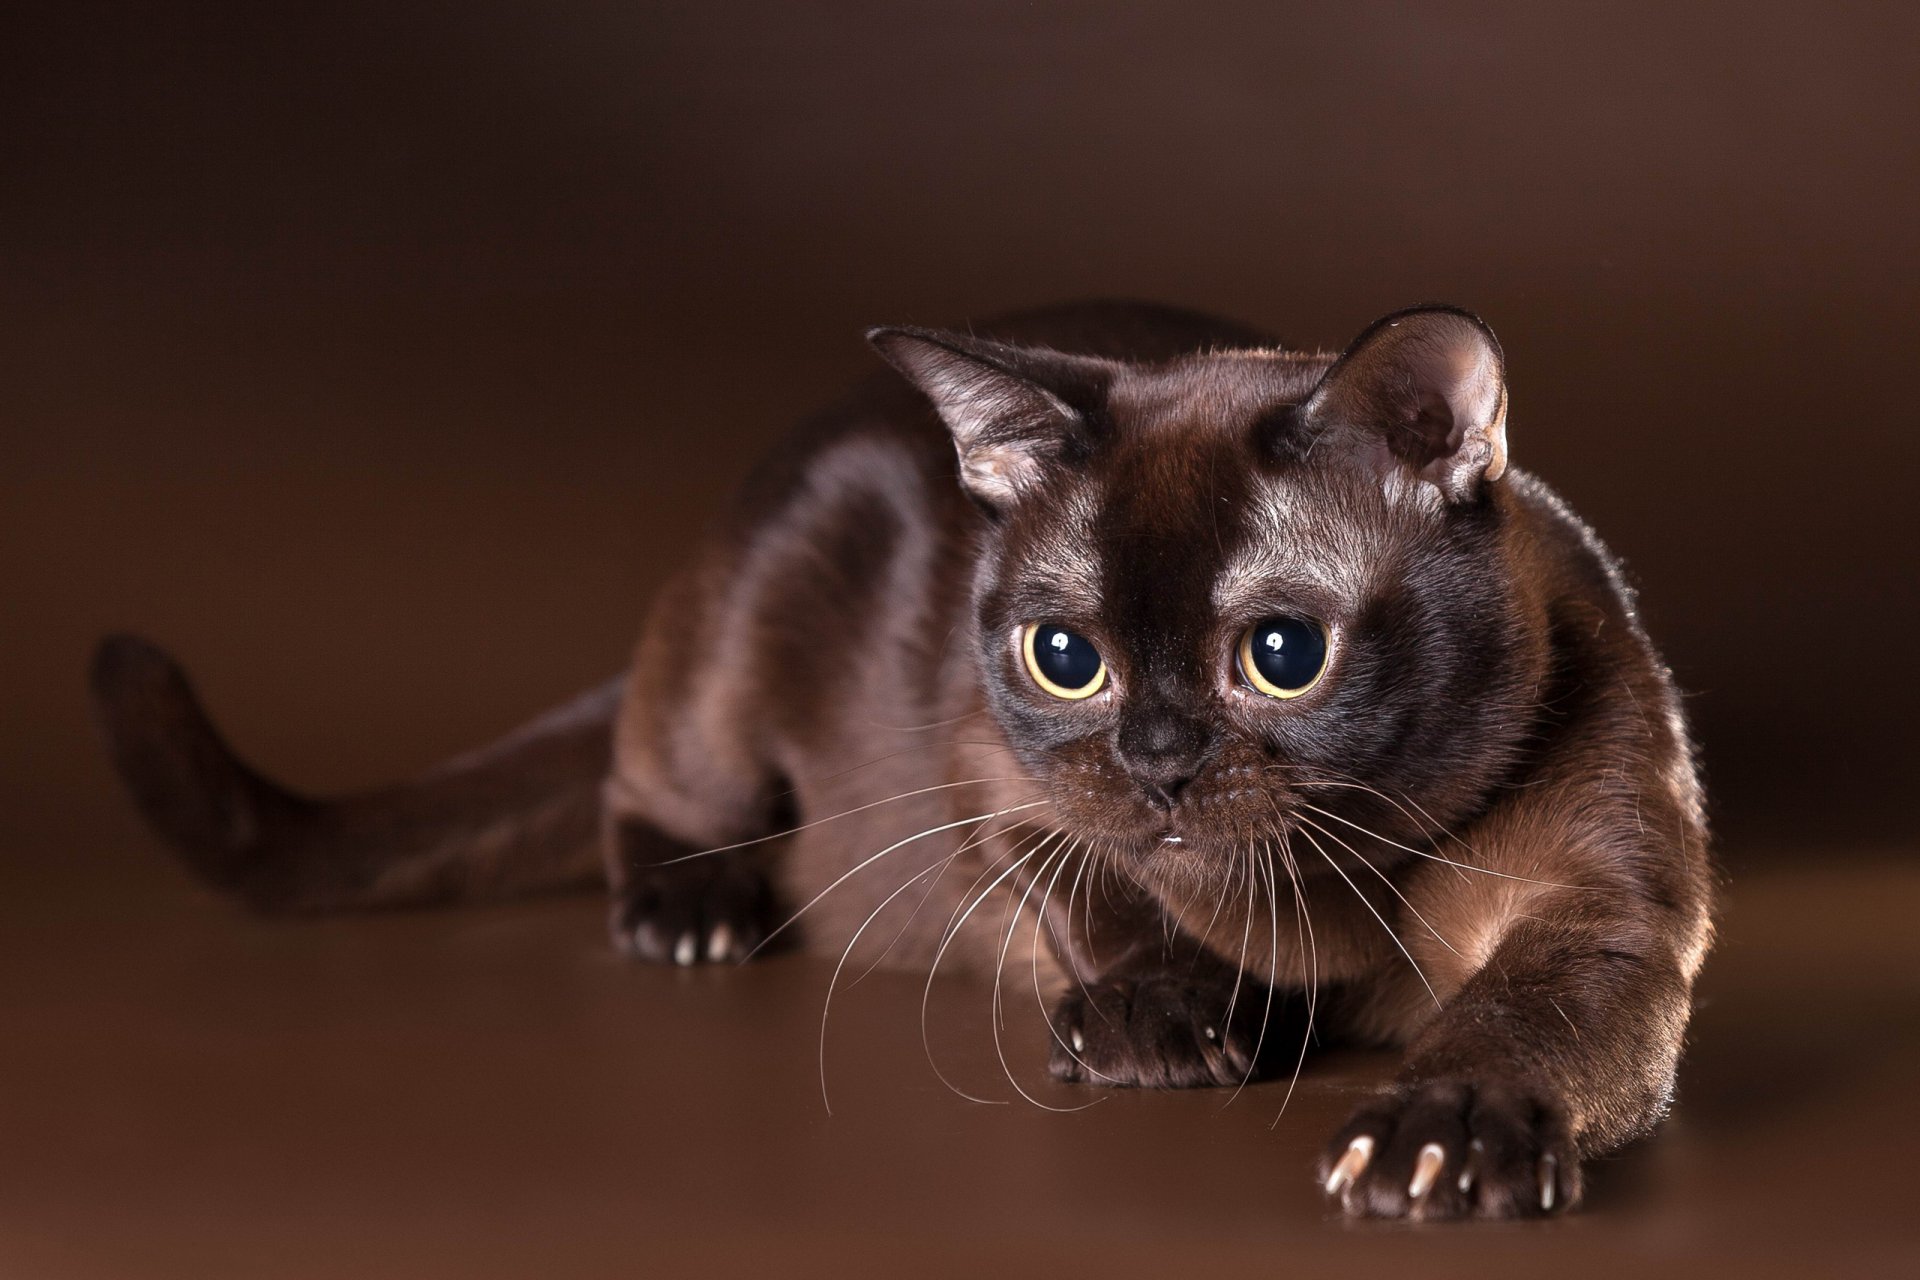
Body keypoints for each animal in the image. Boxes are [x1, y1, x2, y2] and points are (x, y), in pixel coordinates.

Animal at [90, 301, 1720, 1220]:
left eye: (1281, 652)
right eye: (1066, 657)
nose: (1154, 756)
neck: (1314, 908)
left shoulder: (1602, 920)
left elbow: (1513, 1019)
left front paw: (1434, 1137)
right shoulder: (995, 791)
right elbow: (1102, 901)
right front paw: (1164, 1021)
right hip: (732, 656)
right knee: (644, 786)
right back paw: (692, 915)